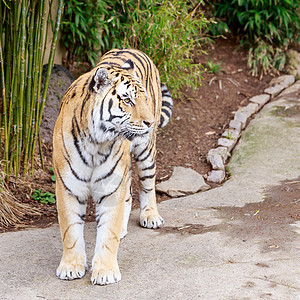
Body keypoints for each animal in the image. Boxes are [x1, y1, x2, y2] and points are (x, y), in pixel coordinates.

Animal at [52, 49, 172, 286]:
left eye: (144, 99)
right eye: (127, 100)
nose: (150, 123)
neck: (95, 143)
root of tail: (133, 49)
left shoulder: (110, 188)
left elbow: (107, 234)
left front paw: (105, 271)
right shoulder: (68, 188)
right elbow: (70, 231)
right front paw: (71, 267)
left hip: (145, 152)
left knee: (147, 185)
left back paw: (150, 216)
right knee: (128, 195)